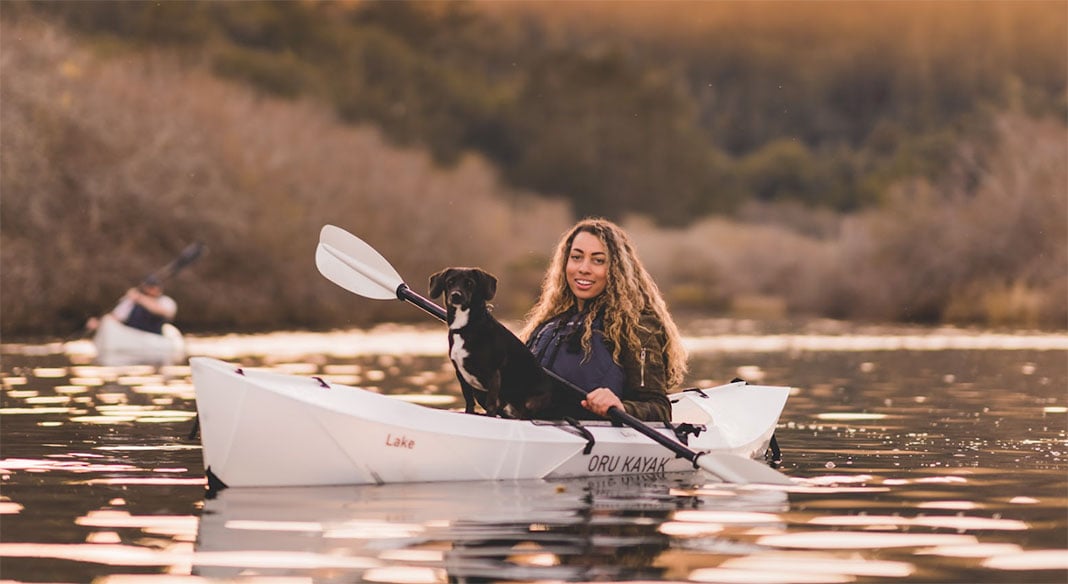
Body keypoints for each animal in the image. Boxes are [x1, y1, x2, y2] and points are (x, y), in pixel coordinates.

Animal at [427, 266, 555, 418]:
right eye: (450, 282)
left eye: (469, 283)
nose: (456, 295)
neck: (466, 327)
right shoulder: (461, 375)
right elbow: (469, 401)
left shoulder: (493, 374)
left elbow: (491, 404)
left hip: (530, 402)